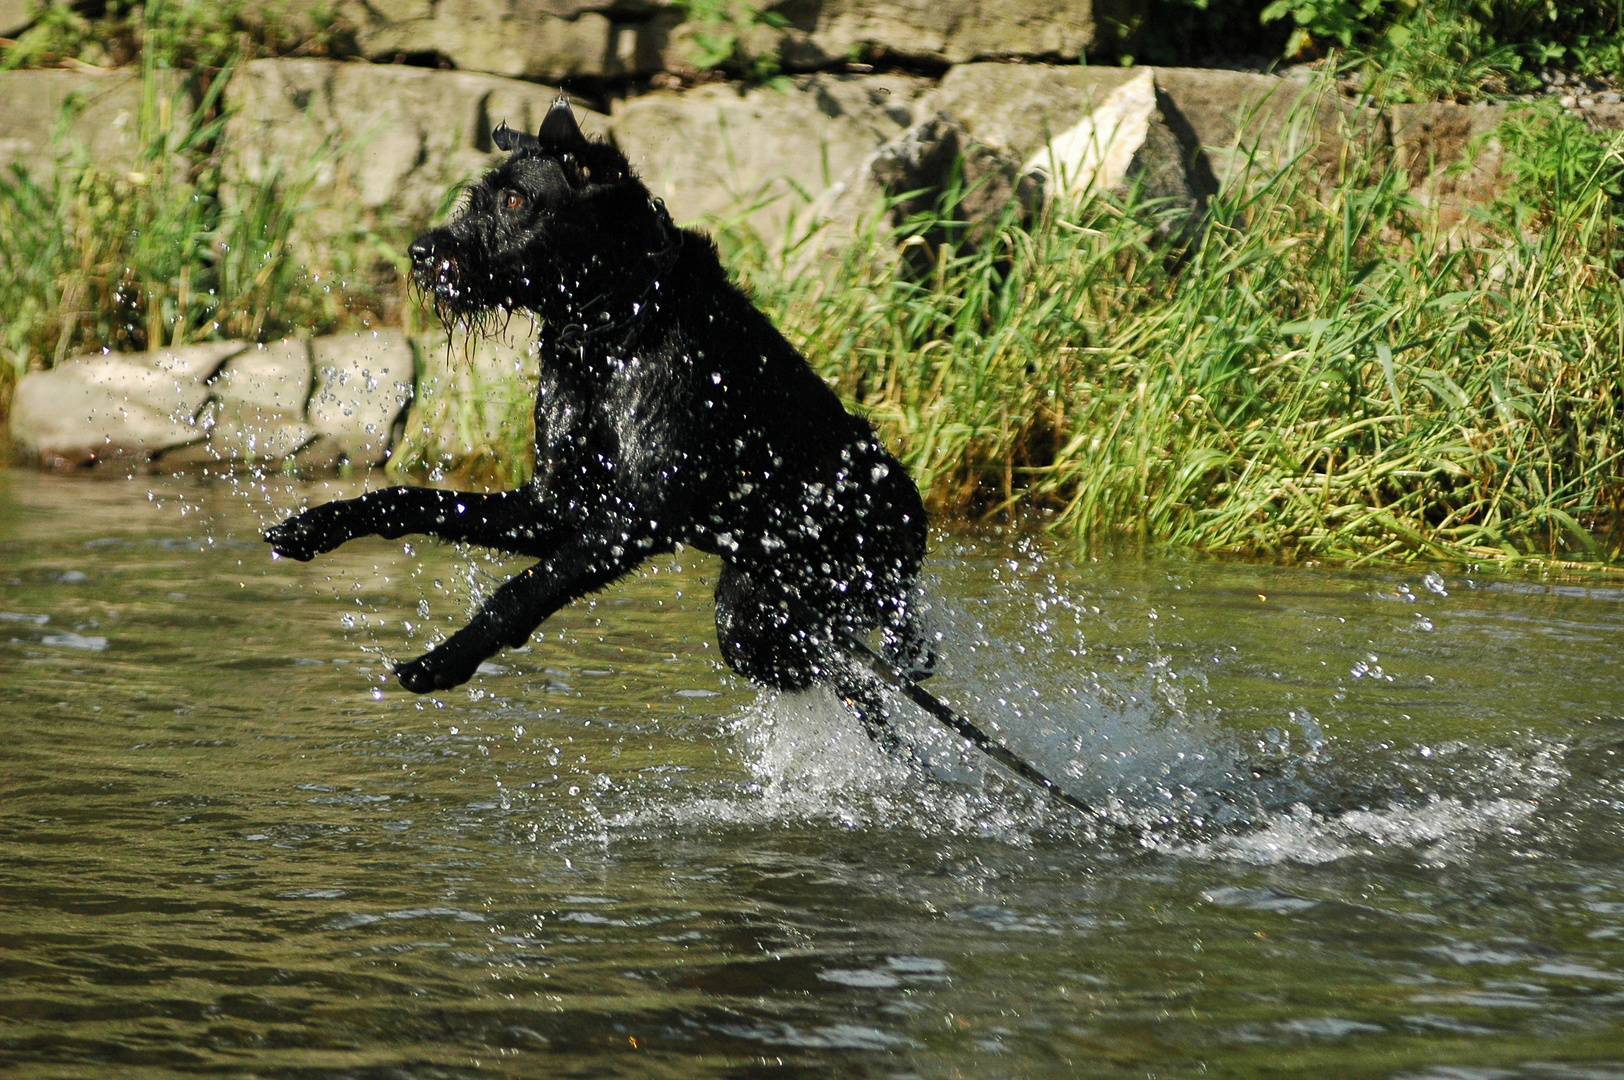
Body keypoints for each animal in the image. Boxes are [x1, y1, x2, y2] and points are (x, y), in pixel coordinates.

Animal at [264, 99, 928, 724]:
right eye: (478, 198)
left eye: (515, 200)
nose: (422, 252)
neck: (612, 330)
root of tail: (916, 524)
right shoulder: (555, 506)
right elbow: (413, 499)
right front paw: (318, 525)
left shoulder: (634, 519)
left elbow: (522, 591)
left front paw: (444, 660)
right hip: (762, 616)